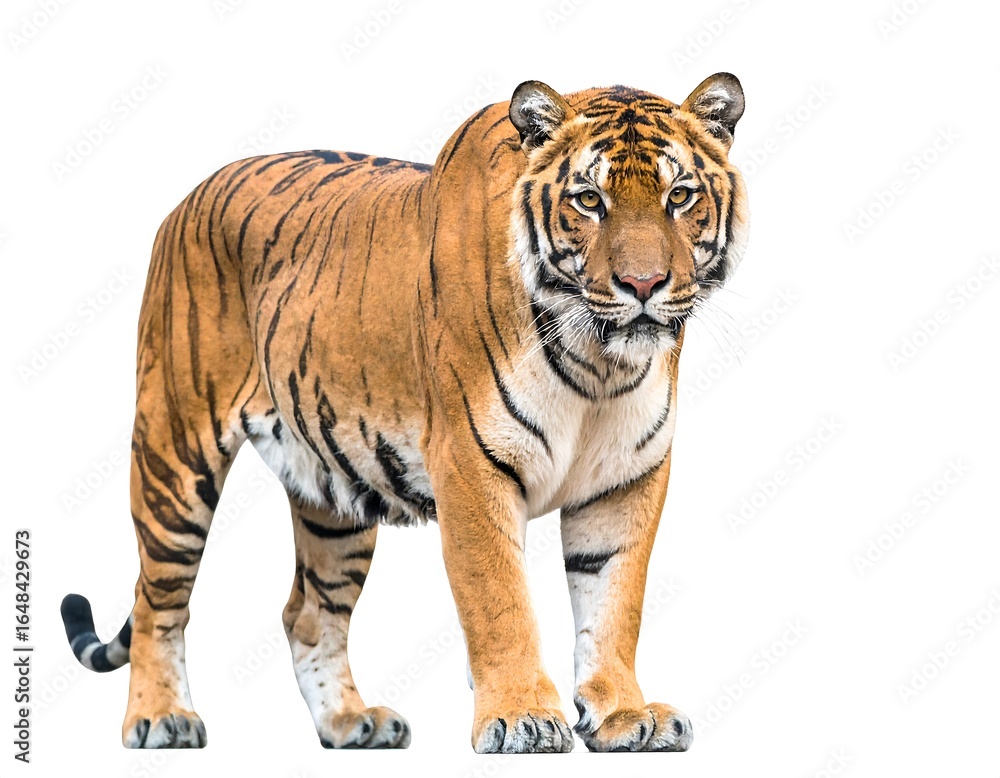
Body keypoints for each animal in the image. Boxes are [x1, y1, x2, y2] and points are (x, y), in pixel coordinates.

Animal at [60, 72, 748, 753]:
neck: (598, 366)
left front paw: (623, 715)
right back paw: (160, 719)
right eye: (588, 200)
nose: (644, 285)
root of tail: (186, 199)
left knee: (308, 612)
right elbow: (499, 601)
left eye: (680, 196)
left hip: (334, 492)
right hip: (174, 454)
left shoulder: (627, 478)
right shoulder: (471, 463)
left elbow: (614, 603)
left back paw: (350, 722)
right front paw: (521, 716)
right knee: (156, 600)